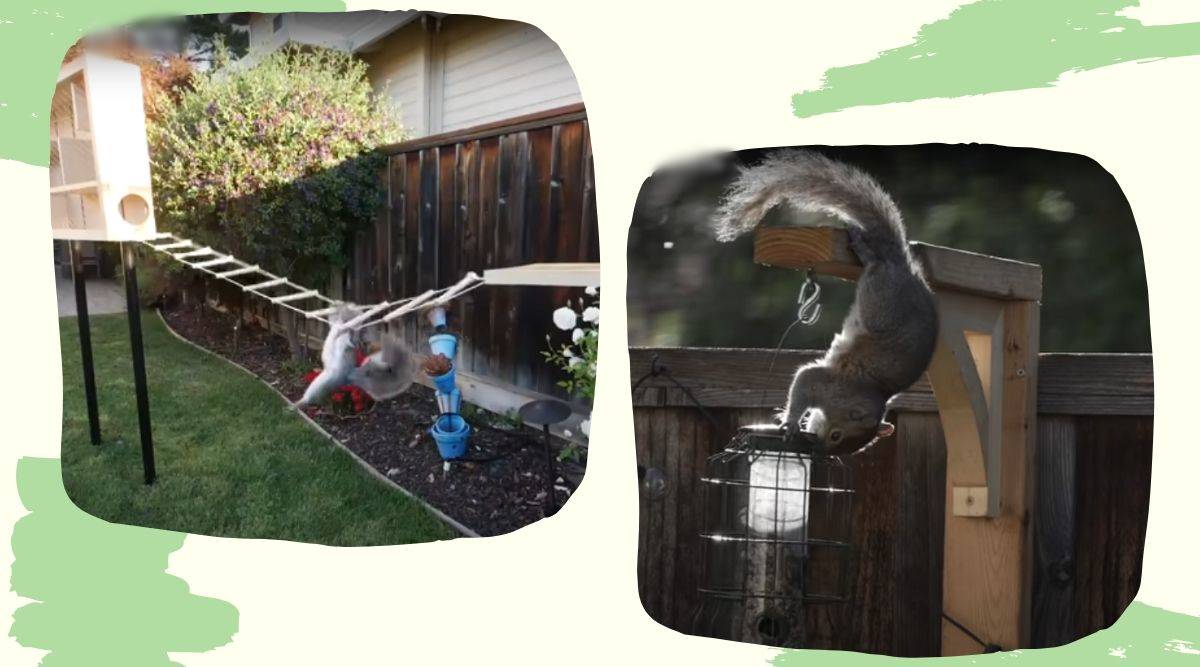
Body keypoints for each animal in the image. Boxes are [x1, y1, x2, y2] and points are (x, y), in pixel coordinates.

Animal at [712, 149, 939, 455]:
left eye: (847, 444)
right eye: (836, 435)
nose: (821, 450)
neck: (859, 394)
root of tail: (904, 266)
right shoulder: (826, 385)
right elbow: (804, 380)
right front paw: (791, 422)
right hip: (881, 294)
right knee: (875, 262)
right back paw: (864, 249)